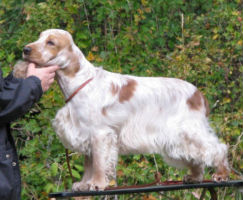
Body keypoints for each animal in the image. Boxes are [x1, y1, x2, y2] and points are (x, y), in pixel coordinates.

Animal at [14, 28, 231, 191]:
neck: (79, 82)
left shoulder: (100, 134)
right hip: (177, 140)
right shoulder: (86, 134)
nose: (25, 49)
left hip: (187, 130)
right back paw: (194, 177)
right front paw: (84, 184)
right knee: (197, 157)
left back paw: (221, 174)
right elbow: (88, 164)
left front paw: (97, 184)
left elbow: (99, 163)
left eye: (50, 42)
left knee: (216, 148)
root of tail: (198, 94)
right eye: (39, 38)